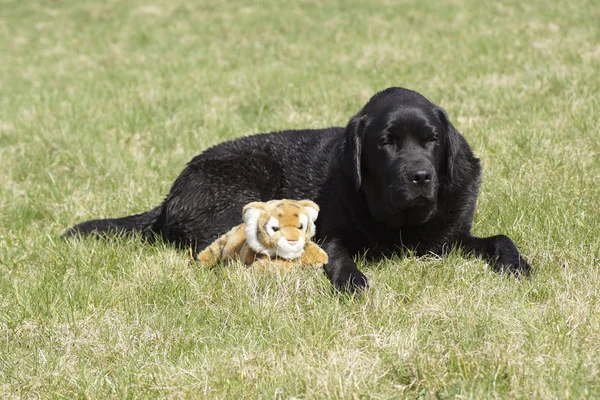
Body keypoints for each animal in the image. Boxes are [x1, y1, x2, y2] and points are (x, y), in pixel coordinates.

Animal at [67, 87, 528, 290]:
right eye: (386, 143)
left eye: (431, 140)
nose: (419, 177)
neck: (401, 223)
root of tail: (168, 196)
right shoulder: (332, 236)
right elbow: (337, 256)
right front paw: (352, 281)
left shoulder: (451, 238)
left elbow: (499, 238)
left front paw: (516, 263)